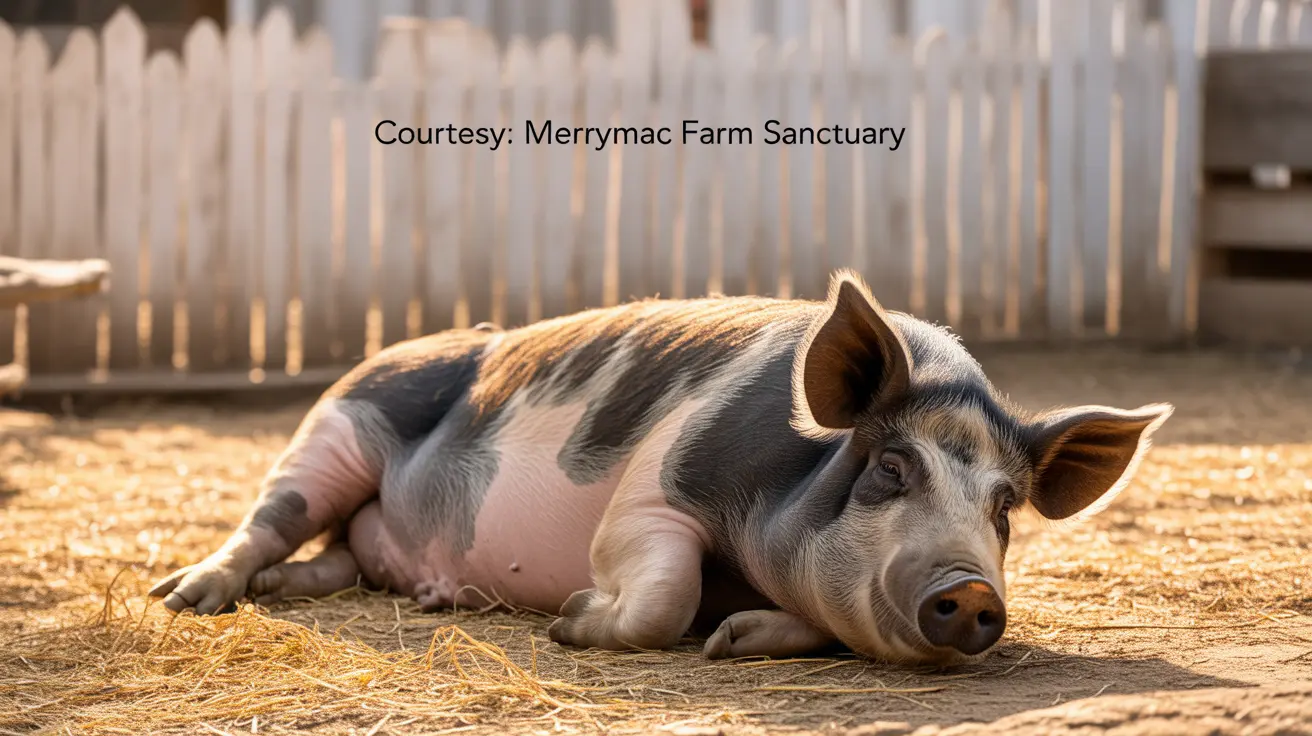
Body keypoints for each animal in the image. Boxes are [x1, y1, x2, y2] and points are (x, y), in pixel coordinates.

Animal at [149, 271, 1172, 664]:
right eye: (889, 467)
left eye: (1005, 507)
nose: (969, 589)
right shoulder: (653, 493)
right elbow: (662, 593)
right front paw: (573, 619)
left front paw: (733, 640)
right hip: (337, 424)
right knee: (270, 519)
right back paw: (183, 598)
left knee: (335, 556)